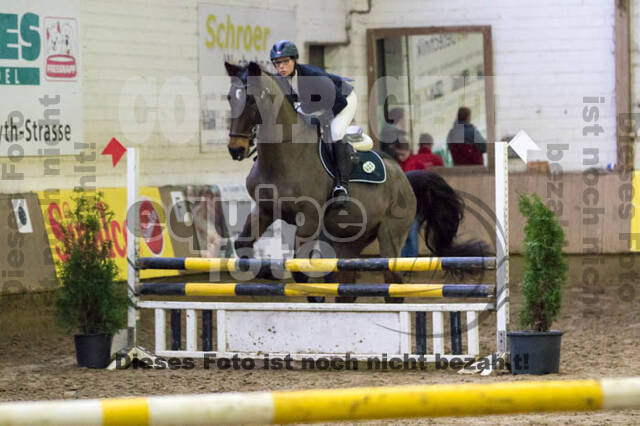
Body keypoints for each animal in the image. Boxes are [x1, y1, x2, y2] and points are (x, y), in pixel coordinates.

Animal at [224, 61, 484, 298]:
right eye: (229, 98)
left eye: (250, 100)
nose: (235, 149)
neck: (283, 156)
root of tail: (404, 178)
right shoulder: (265, 209)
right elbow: (243, 246)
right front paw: (265, 272)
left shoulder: (309, 218)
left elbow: (300, 268)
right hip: (348, 241)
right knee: (347, 284)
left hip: (390, 235)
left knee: (393, 281)